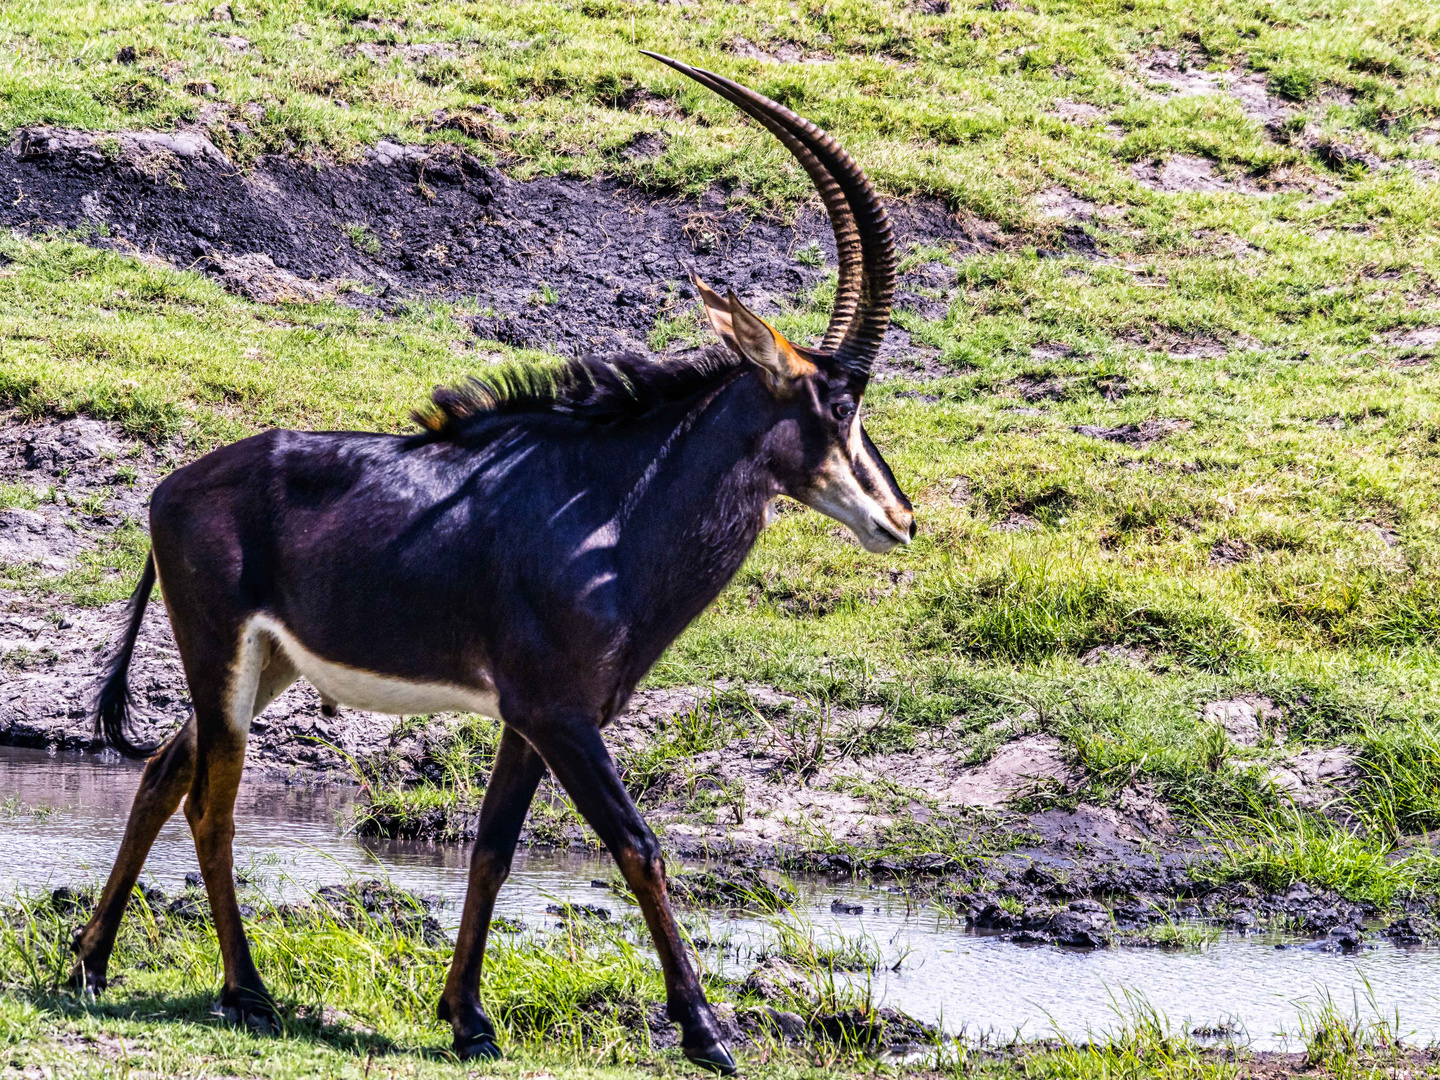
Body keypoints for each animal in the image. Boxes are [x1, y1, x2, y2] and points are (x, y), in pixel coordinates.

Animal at [73, 52, 910, 1077]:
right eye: (838, 406)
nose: (900, 519)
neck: (608, 511)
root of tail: (171, 488)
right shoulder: (561, 716)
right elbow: (638, 846)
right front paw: (708, 1032)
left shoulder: (532, 718)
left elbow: (491, 849)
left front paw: (468, 1017)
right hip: (224, 663)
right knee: (210, 807)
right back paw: (247, 993)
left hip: (259, 670)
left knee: (161, 772)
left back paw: (92, 964)